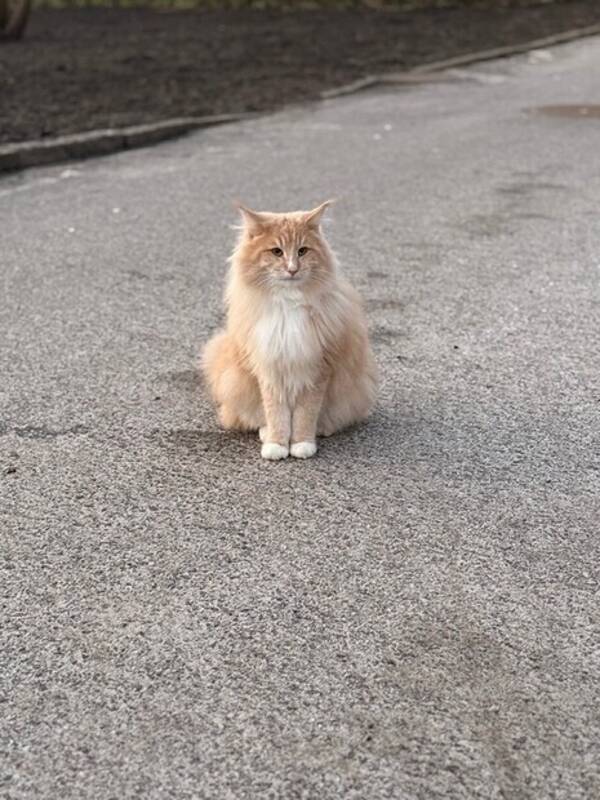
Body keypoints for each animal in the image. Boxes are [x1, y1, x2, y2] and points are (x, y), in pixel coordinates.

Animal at [204, 200, 378, 460]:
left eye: (302, 251)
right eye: (277, 252)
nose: (292, 269)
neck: (288, 305)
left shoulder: (316, 368)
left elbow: (306, 414)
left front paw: (302, 443)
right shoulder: (270, 368)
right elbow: (276, 413)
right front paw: (276, 444)